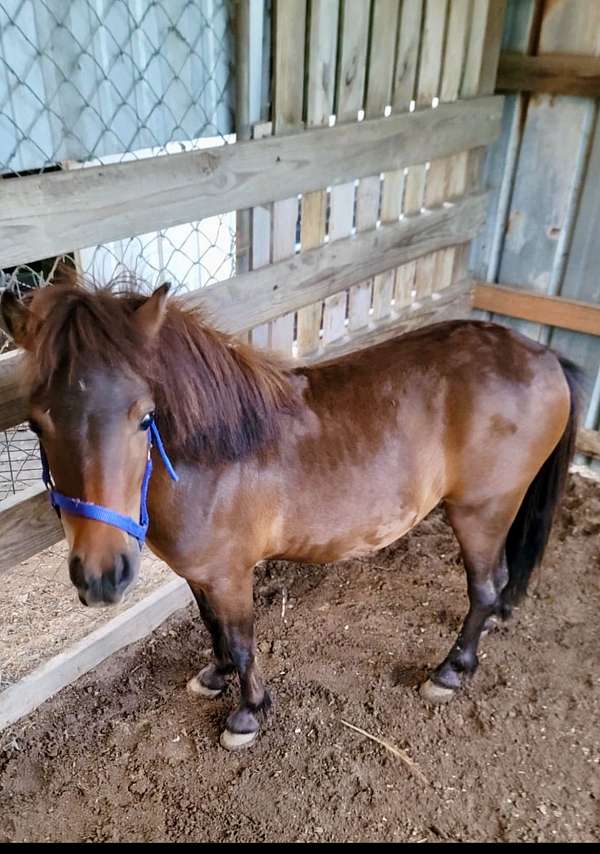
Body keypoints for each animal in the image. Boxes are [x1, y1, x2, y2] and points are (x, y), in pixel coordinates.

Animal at [0, 275, 582, 750]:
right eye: (35, 424)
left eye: (145, 418)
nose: (101, 577)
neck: (217, 452)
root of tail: (544, 355)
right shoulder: (200, 575)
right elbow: (213, 627)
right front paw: (214, 676)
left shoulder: (231, 574)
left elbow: (241, 639)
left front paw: (248, 714)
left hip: (481, 511)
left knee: (483, 588)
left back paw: (450, 672)